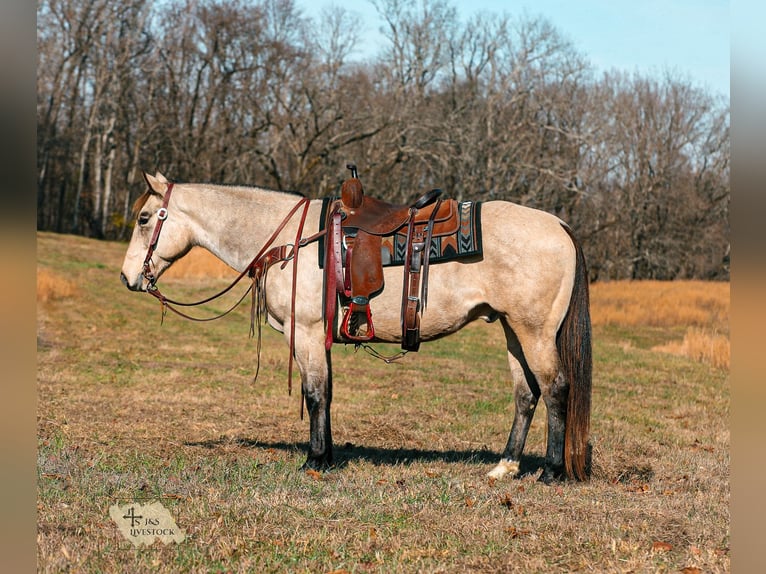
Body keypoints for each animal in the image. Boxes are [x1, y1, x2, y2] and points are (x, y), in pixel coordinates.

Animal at [120, 171, 592, 483]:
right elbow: (326, 393)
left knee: (555, 389)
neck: (291, 241)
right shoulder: (318, 337)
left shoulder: (307, 332)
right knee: (526, 394)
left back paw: (551, 471)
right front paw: (327, 455)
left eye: (144, 218)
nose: (128, 278)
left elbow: (313, 394)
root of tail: (559, 225)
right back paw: (505, 466)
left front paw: (314, 461)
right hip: (513, 330)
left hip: (534, 332)